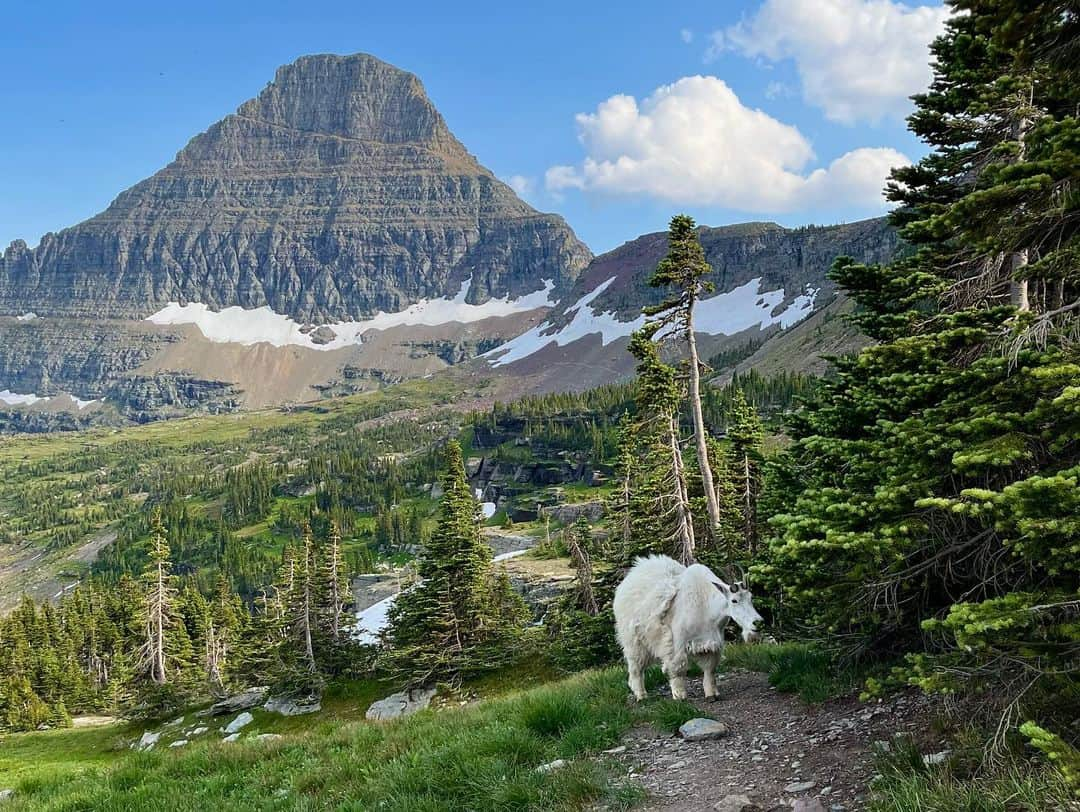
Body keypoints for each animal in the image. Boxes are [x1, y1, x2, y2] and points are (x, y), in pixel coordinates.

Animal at [617, 557, 760, 699]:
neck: (706, 605)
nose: (757, 623)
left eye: (751, 597)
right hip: (634, 640)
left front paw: (711, 694)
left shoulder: (711, 642)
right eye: (734, 600)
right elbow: (678, 667)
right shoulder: (676, 642)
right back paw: (641, 695)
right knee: (636, 666)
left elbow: (710, 668)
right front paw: (680, 695)